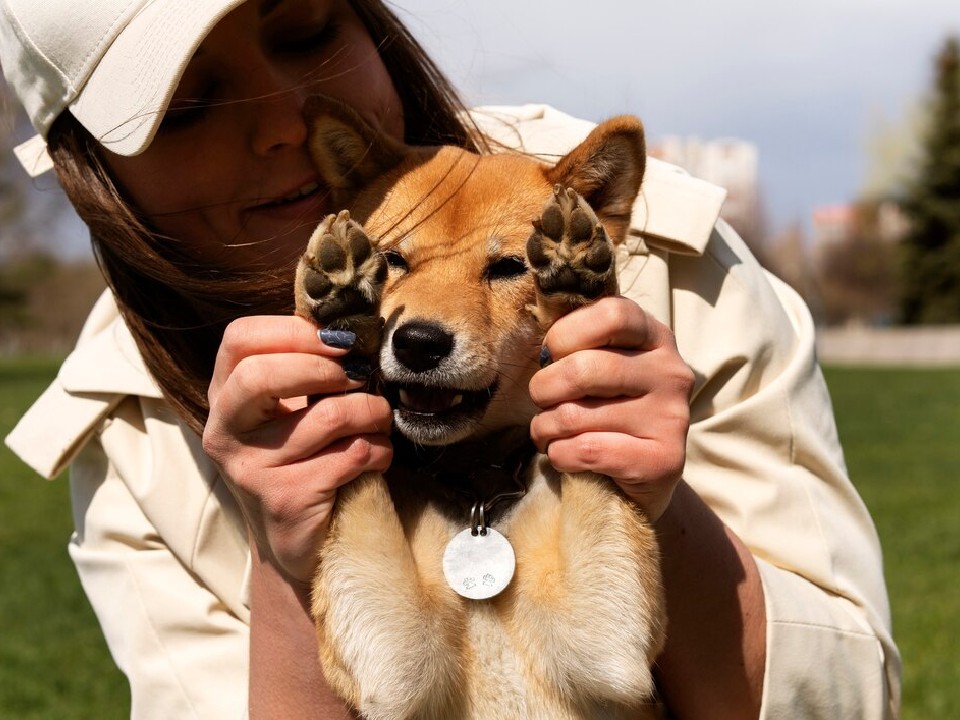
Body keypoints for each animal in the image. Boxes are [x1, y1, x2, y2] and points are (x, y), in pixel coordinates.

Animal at [292, 97, 664, 720]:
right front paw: (341, 299)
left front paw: (576, 283)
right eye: (391, 260)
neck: (477, 490)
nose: (417, 343)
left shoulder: (608, 644)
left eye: (510, 267)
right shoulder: (393, 659)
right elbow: (358, 478)